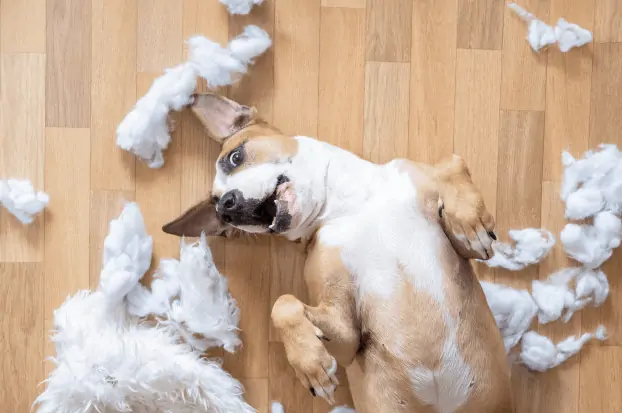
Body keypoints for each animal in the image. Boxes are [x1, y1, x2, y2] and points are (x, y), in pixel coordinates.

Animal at [163, 93, 516, 412]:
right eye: (220, 215)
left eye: (235, 157)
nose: (226, 207)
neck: (353, 205)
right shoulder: (348, 336)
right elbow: (283, 304)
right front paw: (311, 365)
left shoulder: (454, 235)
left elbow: (451, 162)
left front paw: (470, 223)